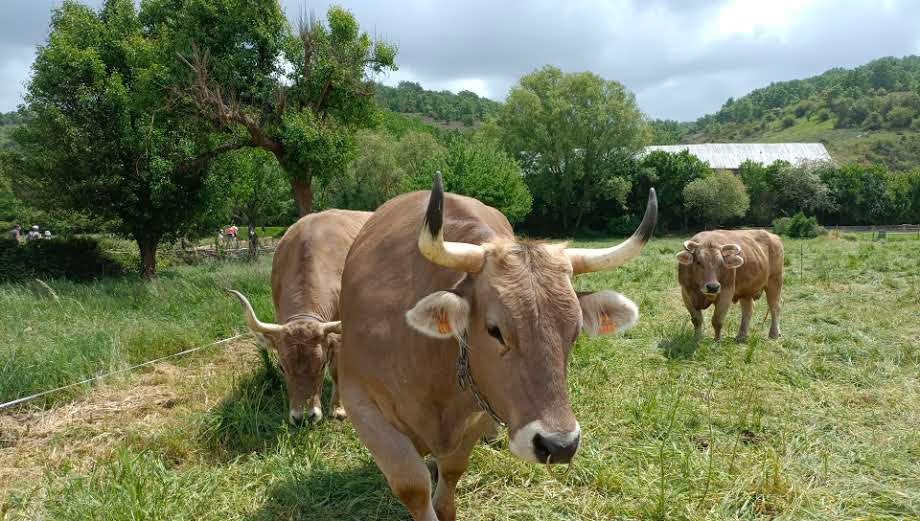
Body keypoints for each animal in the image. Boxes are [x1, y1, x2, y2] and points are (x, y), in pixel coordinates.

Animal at [230, 209, 370, 424]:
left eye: (322, 365)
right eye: (281, 367)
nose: (303, 417)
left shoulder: (338, 338)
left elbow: (337, 371)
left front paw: (338, 408)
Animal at [338, 176, 656, 520]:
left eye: (574, 332)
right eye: (495, 330)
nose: (560, 445)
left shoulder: (478, 409)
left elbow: (452, 473)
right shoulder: (361, 403)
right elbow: (413, 484)